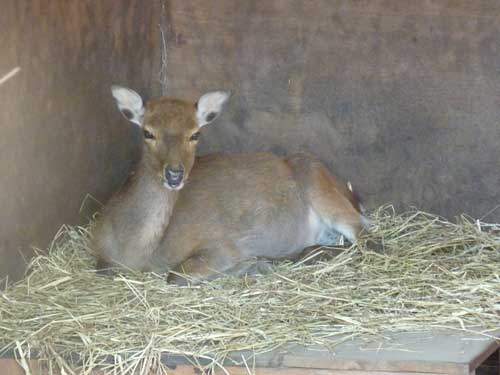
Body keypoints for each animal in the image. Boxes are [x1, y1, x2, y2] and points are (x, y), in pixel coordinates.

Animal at [94, 86, 370, 284]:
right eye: (147, 132)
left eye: (195, 134)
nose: (174, 174)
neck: (134, 250)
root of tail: (352, 195)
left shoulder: (222, 245)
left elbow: (177, 274)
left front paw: (254, 265)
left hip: (318, 182)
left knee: (365, 236)